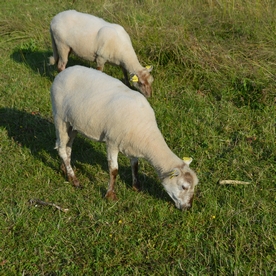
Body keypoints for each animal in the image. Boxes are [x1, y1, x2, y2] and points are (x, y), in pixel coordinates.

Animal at [50, 66, 198, 210]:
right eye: (184, 186)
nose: (188, 207)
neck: (147, 134)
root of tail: (65, 71)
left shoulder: (133, 145)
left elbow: (135, 166)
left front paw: (136, 187)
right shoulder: (112, 142)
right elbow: (114, 170)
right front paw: (110, 195)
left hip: (73, 124)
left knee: (68, 147)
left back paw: (65, 168)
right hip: (60, 117)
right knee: (62, 149)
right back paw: (73, 179)